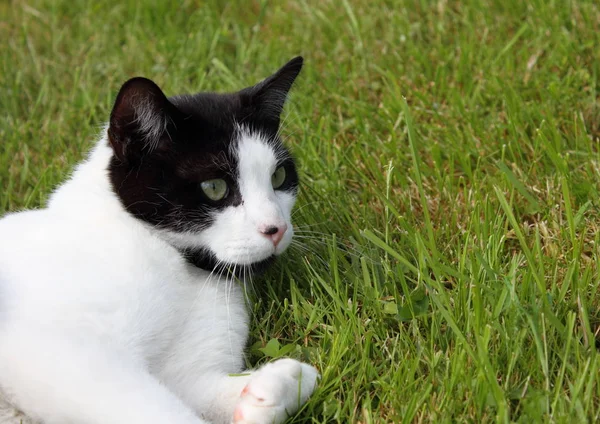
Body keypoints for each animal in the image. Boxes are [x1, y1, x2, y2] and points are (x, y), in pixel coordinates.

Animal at [0, 57, 318, 424]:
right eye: (214, 187)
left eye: (278, 176)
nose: (276, 227)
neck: (182, 269)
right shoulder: (61, 353)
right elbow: (155, 410)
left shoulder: (187, 374)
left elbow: (194, 388)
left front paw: (275, 387)